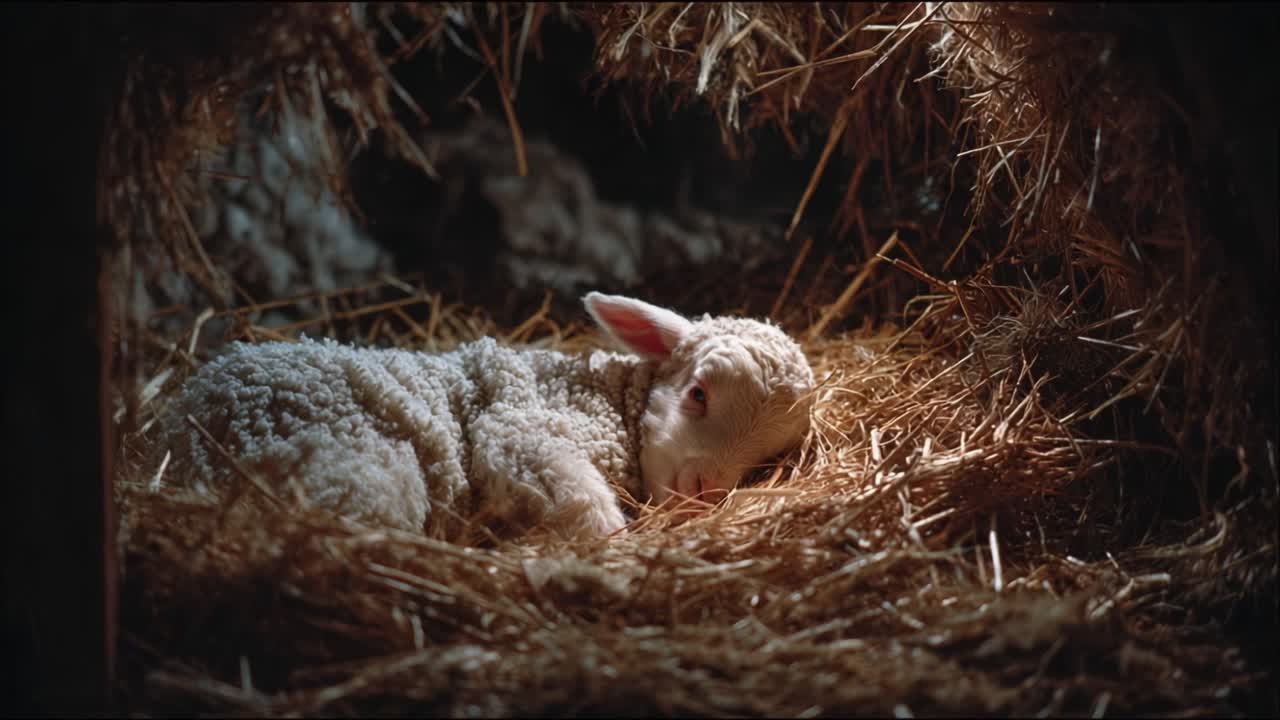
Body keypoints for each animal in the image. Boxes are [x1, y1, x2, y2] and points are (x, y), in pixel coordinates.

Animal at [154, 293, 815, 538]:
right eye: (698, 393)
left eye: (767, 458)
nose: (703, 492)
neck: (607, 398)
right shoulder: (519, 431)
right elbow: (588, 508)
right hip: (356, 468)